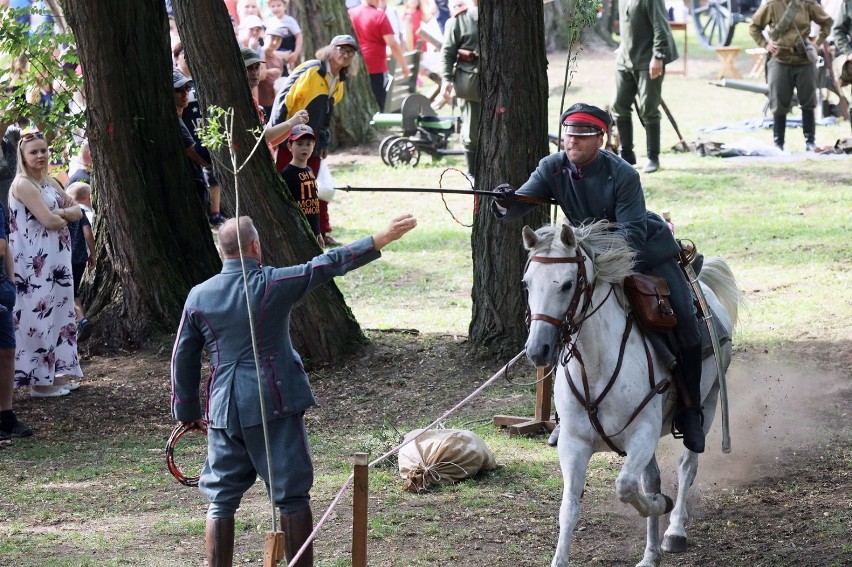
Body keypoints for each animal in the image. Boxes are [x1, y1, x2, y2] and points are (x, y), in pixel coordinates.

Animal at [520, 221, 740, 567]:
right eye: (527, 284)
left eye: (567, 285)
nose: (537, 349)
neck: (597, 364)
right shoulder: (574, 443)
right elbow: (569, 509)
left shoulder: (643, 434)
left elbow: (625, 487)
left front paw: (660, 506)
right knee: (652, 478)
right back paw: (651, 553)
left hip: (710, 402)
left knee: (687, 466)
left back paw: (674, 530)